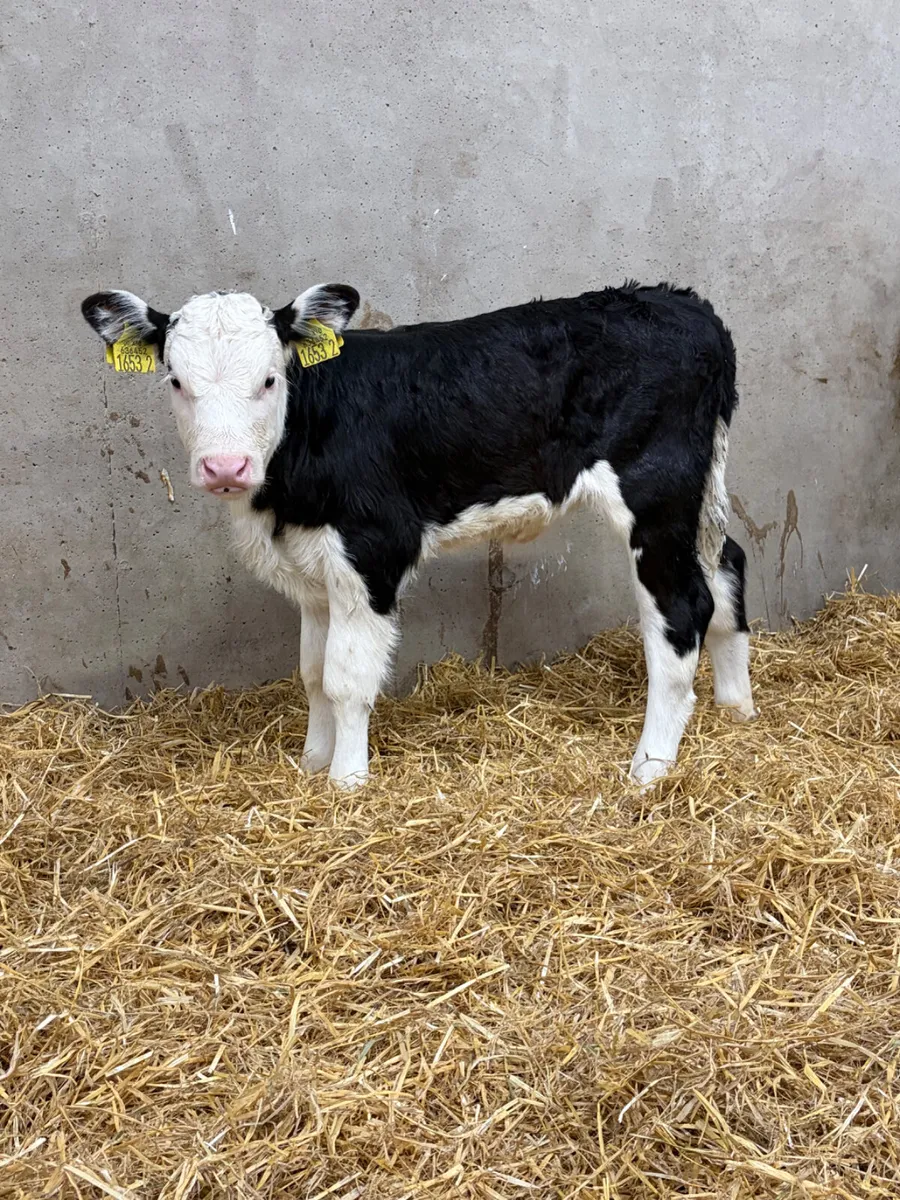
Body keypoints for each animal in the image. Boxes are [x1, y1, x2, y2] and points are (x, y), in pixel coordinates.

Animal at [81, 281, 757, 790]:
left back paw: (650, 767)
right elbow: (311, 674)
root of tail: (686, 304)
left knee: (681, 609)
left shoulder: (372, 551)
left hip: (655, 493)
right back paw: (736, 710)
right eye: (174, 379)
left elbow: (346, 680)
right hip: (701, 494)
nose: (225, 467)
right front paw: (311, 764)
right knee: (726, 565)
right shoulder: (312, 570)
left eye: (271, 379)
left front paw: (346, 781)